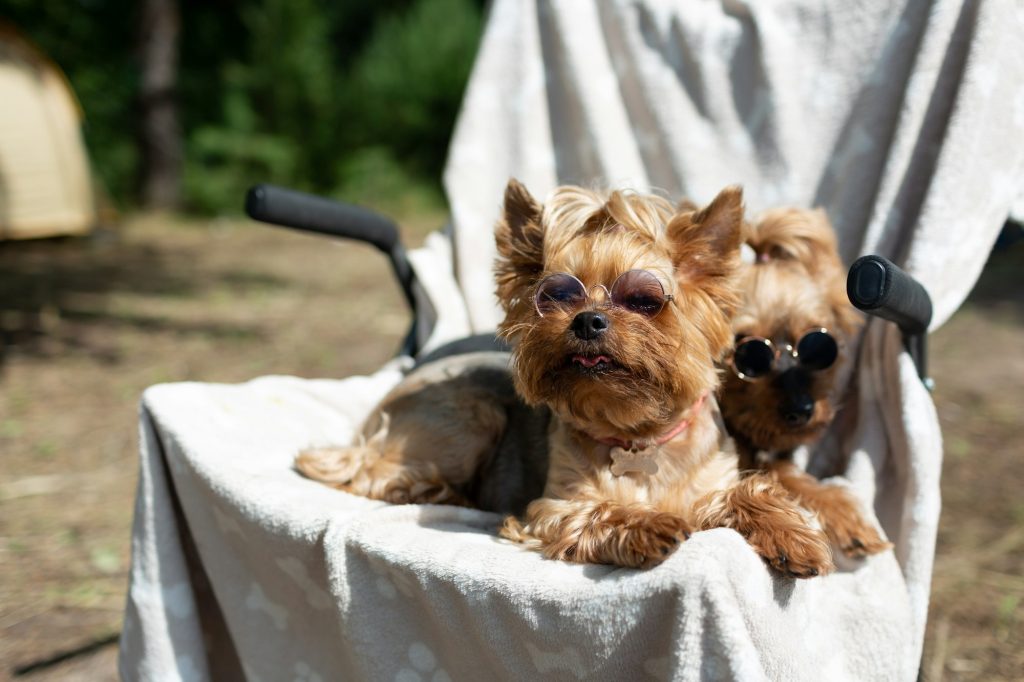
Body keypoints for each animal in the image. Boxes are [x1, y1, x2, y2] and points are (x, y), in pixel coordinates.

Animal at [294, 180, 831, 573]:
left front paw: (791, 532)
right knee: (371, 472)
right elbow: (597, 511)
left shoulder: (712, 481)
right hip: (470, 416)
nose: (588, 320)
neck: (637, 436)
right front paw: (648, 525)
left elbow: (750, 491)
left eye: (644, 300)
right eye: (555, 297)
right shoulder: (555, 508)